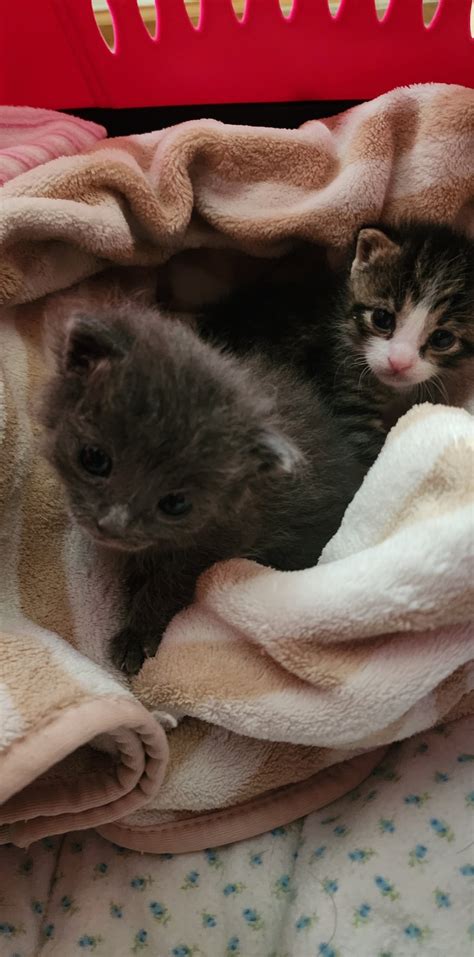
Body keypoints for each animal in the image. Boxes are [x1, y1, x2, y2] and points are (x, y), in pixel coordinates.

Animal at [40, 298, 364, 672]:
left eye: (175, 504)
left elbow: (170, 584)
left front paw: (137, 635)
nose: (111, 524)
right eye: (94, 458)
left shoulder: (219, 543)